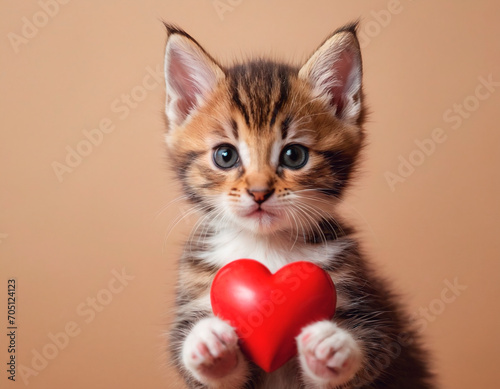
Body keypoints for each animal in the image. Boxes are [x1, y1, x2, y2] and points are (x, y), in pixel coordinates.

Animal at [163, 22, 434, 386]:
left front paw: (334, 346)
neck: (266, 248)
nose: (259, 192)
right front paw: (206, 342)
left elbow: (369, 353)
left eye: (294, 155)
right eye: (225, 155)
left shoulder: (373, 314)